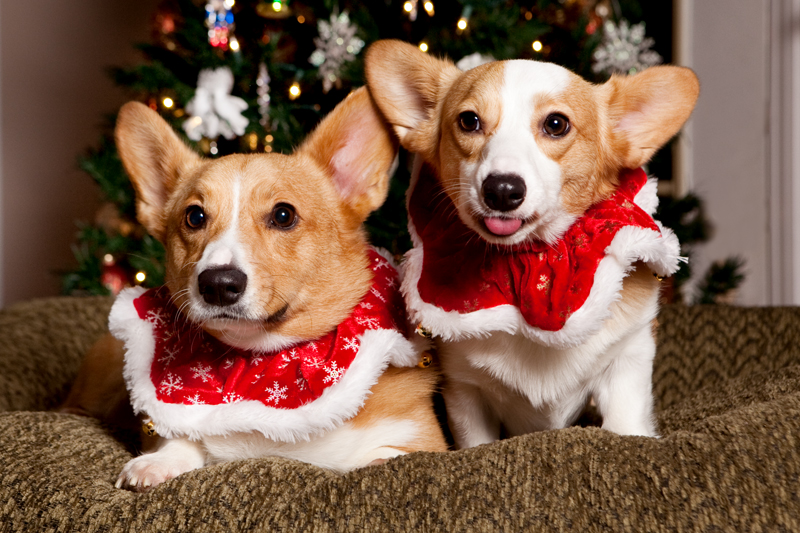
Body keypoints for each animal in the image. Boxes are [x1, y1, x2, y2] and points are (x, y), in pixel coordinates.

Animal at [61, 87, 450, 490]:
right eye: (194, 216)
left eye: (283, 215)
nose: (217, 284)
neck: (263, 360)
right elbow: (180, 437)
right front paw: (155, 464)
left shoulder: (420, 438)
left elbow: (378, 456)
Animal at [366, 41, 696, 446]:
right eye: (469, 121)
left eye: (556, 124)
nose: (501, 190)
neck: (529, 260)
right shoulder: (465, 390)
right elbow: (476, 441)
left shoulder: (628, 359)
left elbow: (625, 424)